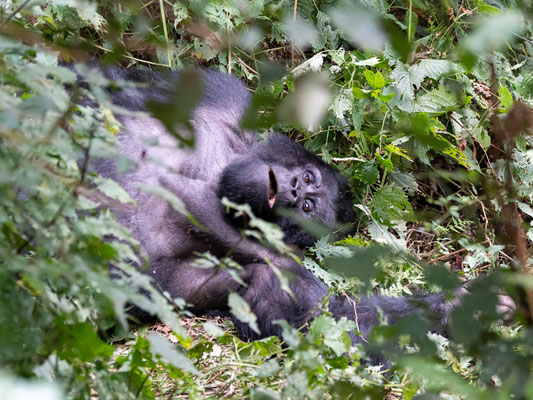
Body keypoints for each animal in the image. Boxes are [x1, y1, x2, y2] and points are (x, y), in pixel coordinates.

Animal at [94, 68, 462, 344]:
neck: (218, 178)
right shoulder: (225, 96)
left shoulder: (283, 269)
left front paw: (450, 308)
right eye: (310, 178)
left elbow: (325, 323)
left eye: (307, 210)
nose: (295, 192)